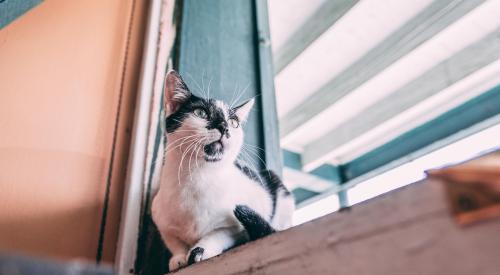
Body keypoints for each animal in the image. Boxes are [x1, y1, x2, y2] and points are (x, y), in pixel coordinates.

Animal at [150, 70, 294, 272]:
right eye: (200, 112)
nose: (224, 127)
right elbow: (174, 241)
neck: (196, 177)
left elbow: (218, 235)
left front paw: (199, 251)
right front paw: (178, 258)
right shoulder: (160, 220)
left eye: (233, 122)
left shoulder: (234, 225)